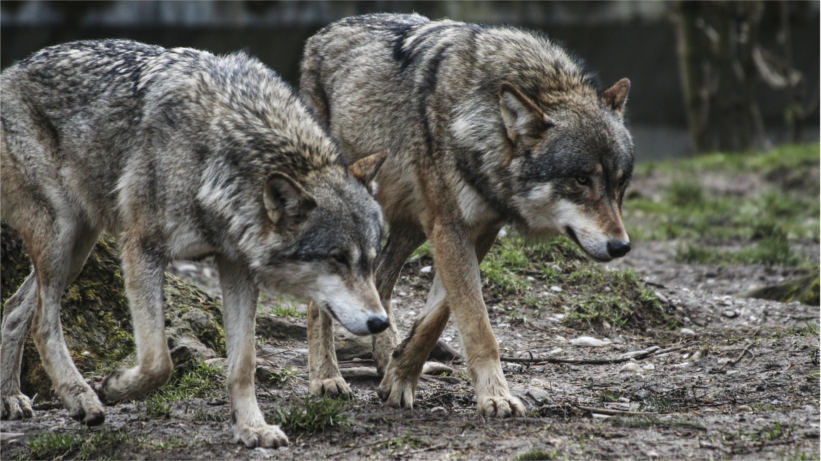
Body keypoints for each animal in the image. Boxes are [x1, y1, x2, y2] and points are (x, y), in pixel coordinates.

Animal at [0, 39, 390, 446]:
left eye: (370, 260)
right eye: (338, 258)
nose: (381, 322)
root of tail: (12, 70)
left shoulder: (236, 266)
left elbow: (244, 363)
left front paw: (253, 428)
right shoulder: (140, 248)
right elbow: (159, 361)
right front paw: (116, 385)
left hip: (78, 249)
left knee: (15, 308)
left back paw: (11, 398)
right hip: (62, 237)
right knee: (43, 322)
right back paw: (81, 397)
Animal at [302, 15, 636, 416]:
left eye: (620, 183)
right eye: (581, 179)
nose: (621, 246)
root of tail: (324, 31)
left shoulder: (480, 230)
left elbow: (437, 317)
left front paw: (399, 376)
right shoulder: (450, 228)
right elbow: (478, 327)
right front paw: (496, 395)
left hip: (411, 224)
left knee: (380, 281)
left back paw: (382, 357)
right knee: (319, 299)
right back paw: (326, 377)